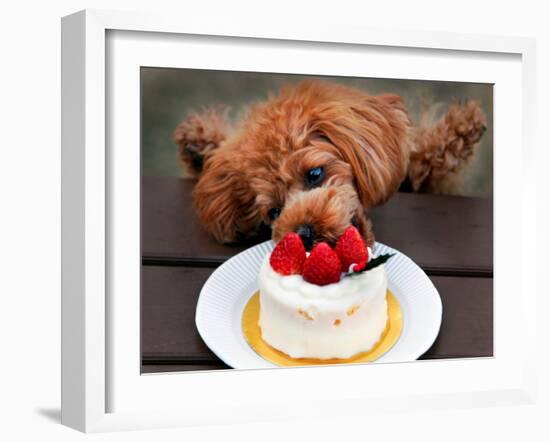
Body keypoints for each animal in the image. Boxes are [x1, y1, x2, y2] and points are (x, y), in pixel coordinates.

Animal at [174, 80, 488, 250]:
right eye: (274, 211)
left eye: (314, 174)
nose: (303, 233)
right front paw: (200, 144)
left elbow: (427, 162)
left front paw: (462, 127)